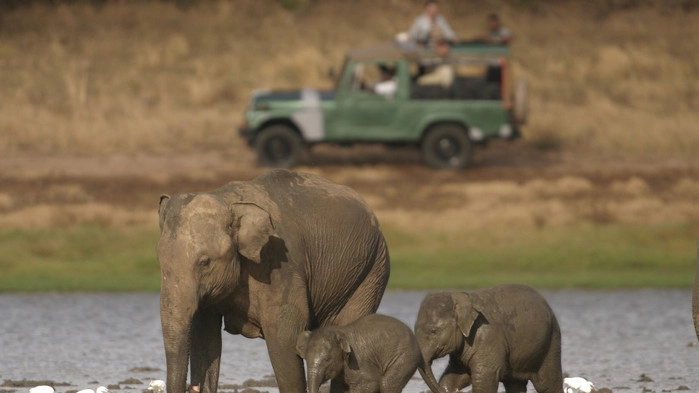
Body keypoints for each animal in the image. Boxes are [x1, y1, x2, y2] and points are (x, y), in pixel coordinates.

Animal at [156, 170, 392, 392]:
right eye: (160, 259)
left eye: (204, 262)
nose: (191, 386)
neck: (228, 201)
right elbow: (204, 337)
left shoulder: (277, 264)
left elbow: (283, 336)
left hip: (371, 271)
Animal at [416, 284, 564, 392]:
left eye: (433, 331)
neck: (459, 296)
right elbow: (455, 376)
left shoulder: (488, 338)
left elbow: (484, 378)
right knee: (515, 384)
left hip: (551, 342)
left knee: (548, 384)